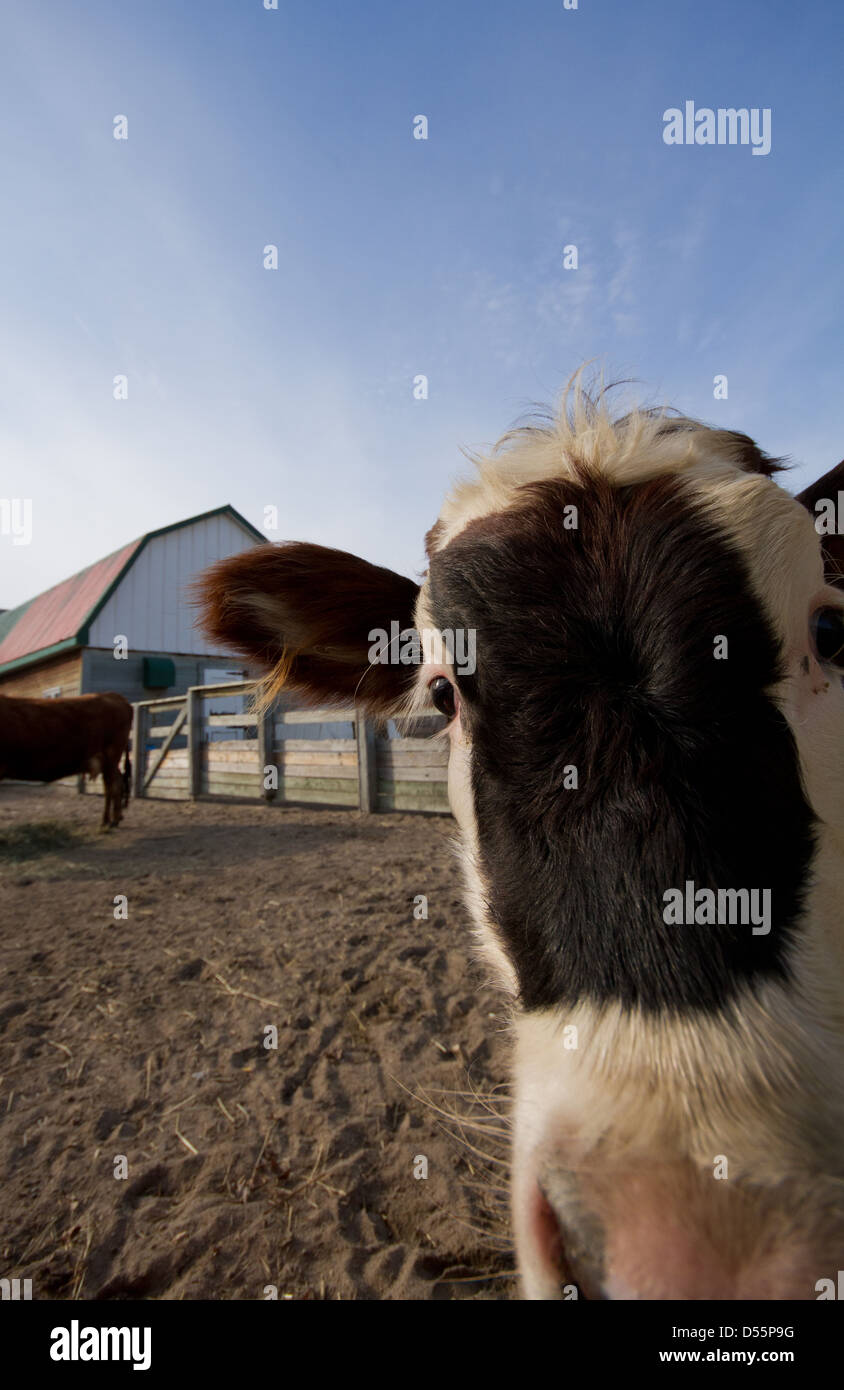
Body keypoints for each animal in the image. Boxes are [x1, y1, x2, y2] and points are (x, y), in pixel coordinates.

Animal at [0, 692, 132, 822]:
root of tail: (113, 695)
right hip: (108, 762)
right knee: (114, 783)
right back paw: (112, 818)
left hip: (111, 756)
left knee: (113, 785)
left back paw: (110, 821)